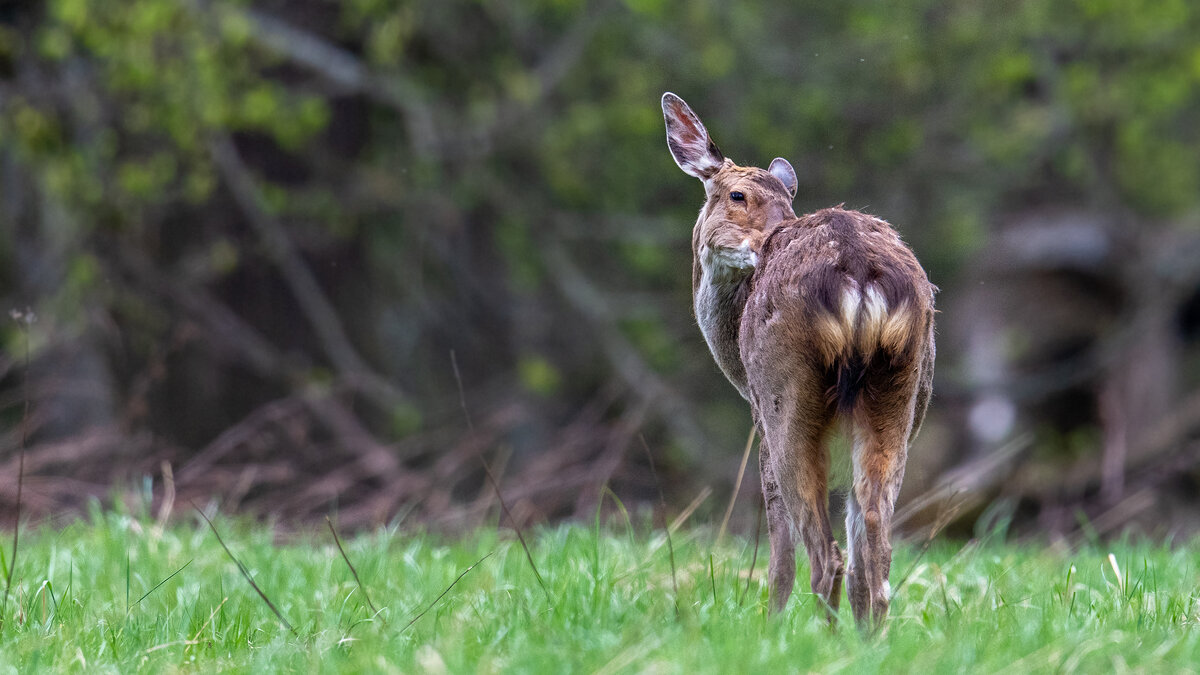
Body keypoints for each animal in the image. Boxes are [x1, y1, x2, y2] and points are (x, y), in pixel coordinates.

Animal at [661, 92, 935, 629]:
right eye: (738, 196)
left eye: (788, 203)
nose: (776, 233)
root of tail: (859, 275)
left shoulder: (758, 419)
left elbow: (779, 543)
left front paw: (770, 619)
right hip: (898, 398)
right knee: (873, 551)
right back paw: (868, 634)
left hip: (786, 398)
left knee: (827, 555)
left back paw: (811, 634)